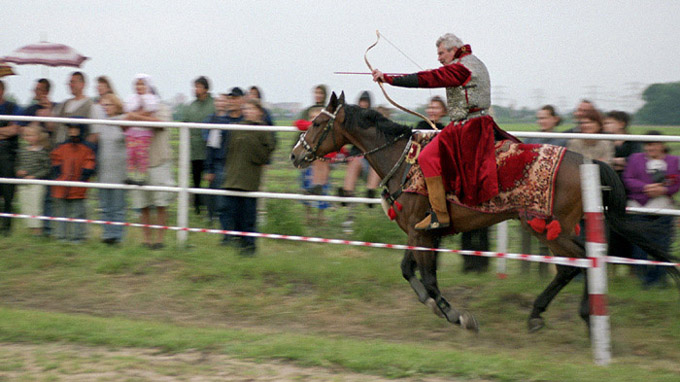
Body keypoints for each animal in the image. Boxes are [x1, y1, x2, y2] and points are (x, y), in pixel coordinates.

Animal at [290, 91, 676, 332]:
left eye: (316, 123)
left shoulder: (420, 231)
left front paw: (455, 315)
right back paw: (542, 314)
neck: (404, 160)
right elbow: (409, 271)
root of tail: (588, 162)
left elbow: (428, 277)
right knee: (575, 264)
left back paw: (577, 313)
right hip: (549, 227)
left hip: (550, 226)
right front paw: (431, 303)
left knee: (581, 261)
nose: (295, 155)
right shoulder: (423, 232)